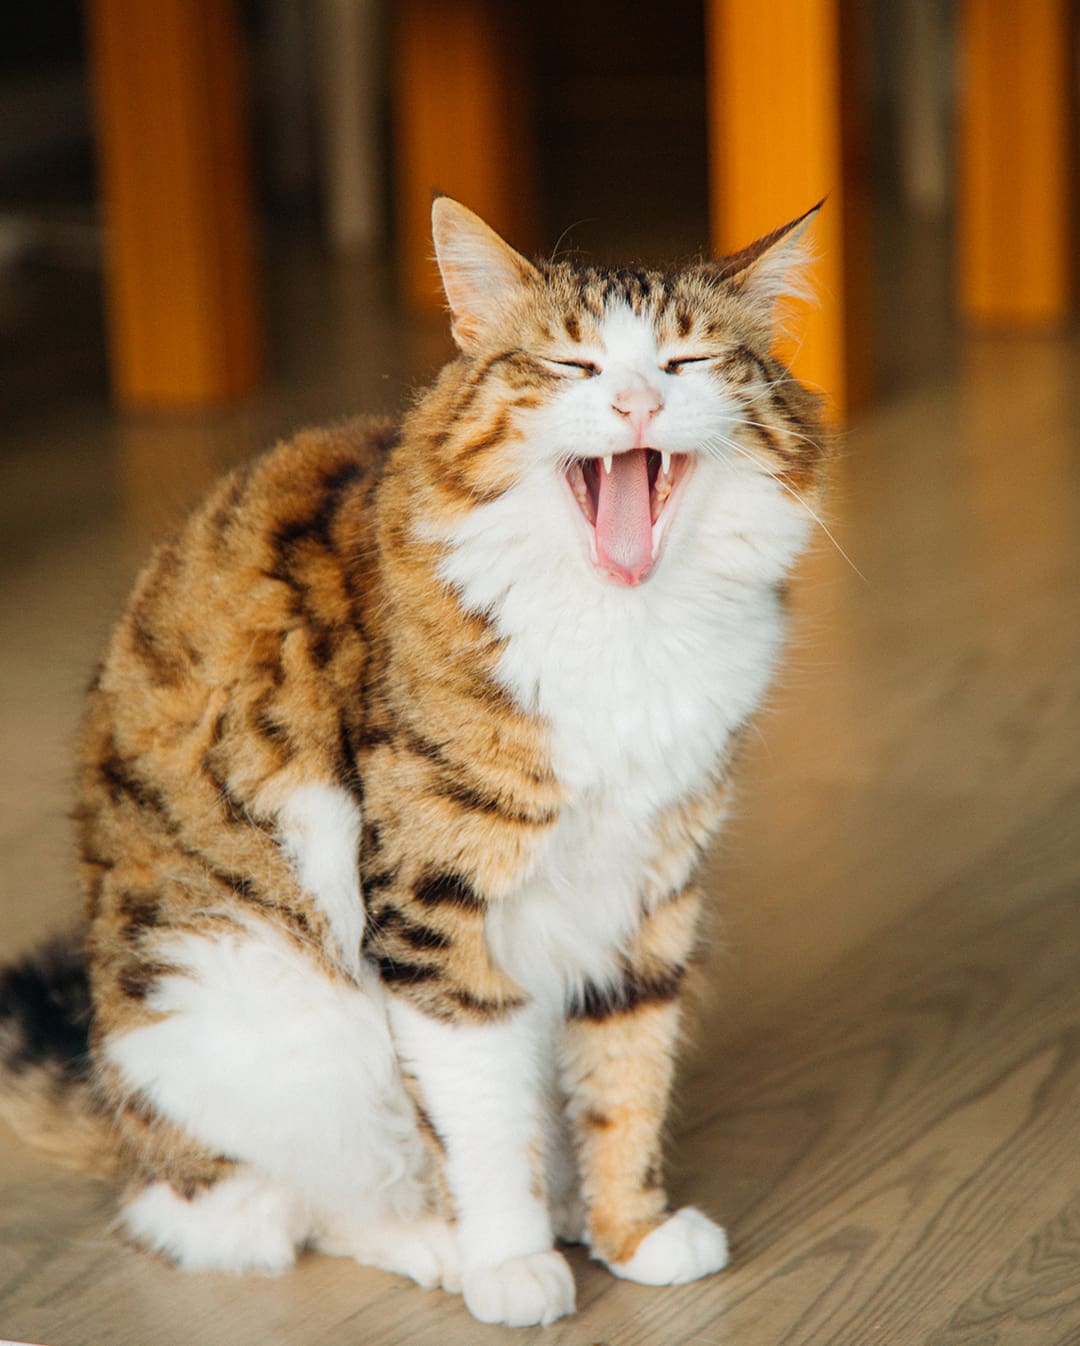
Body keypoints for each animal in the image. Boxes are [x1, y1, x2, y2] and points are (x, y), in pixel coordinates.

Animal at [0, 196, 824, 1324]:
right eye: (569, 365)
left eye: (688, 361)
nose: (635, 402)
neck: (625, 632)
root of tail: (121, 1116)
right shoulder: (434, 908)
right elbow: (480, 1117)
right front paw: (512, 1263)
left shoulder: (652, 887)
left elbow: (626, 1072)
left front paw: (634, 1229)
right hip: (262, 1018)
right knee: (257, 1213)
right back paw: (441, 1244)